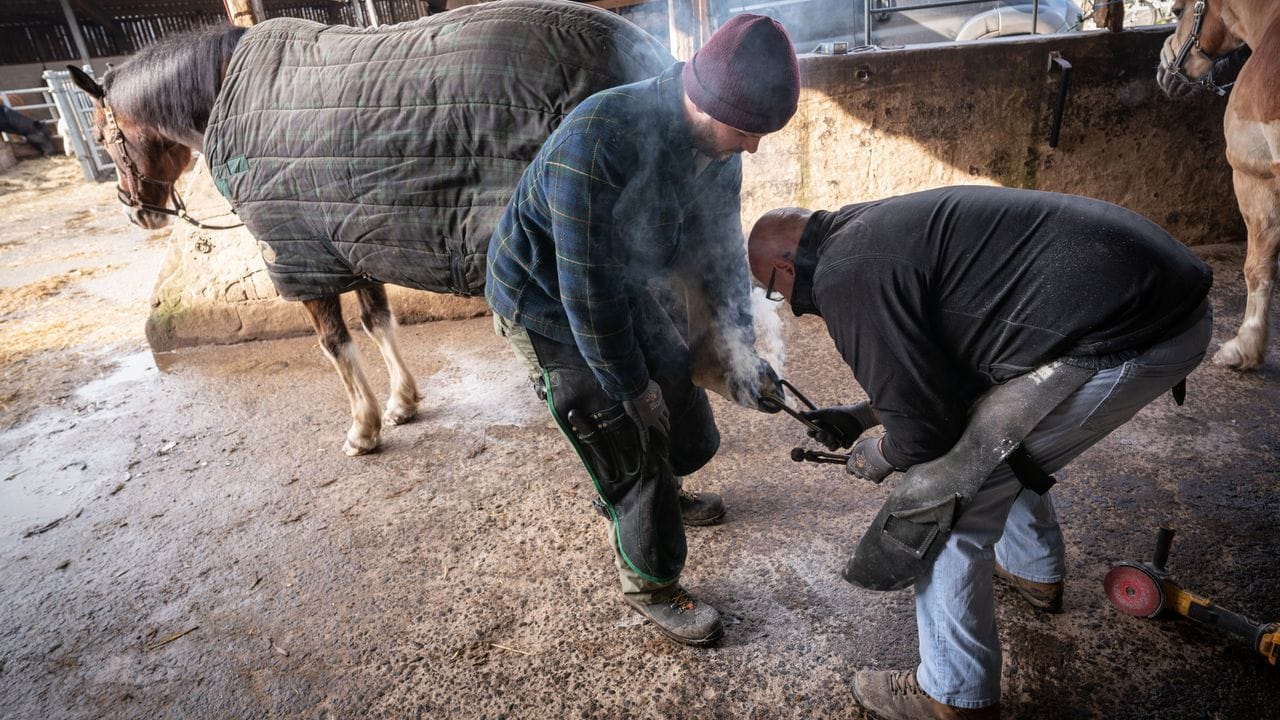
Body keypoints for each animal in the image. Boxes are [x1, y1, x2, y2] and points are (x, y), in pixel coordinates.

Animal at [71, 1, 675, 453]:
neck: (225, 89)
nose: (135, 209)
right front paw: (402, 403)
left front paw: (363, 428)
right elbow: (377, 321)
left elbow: (334, 344)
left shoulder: (297, 256)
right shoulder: (351, 240)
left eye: (102, 136)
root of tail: (645, 54)